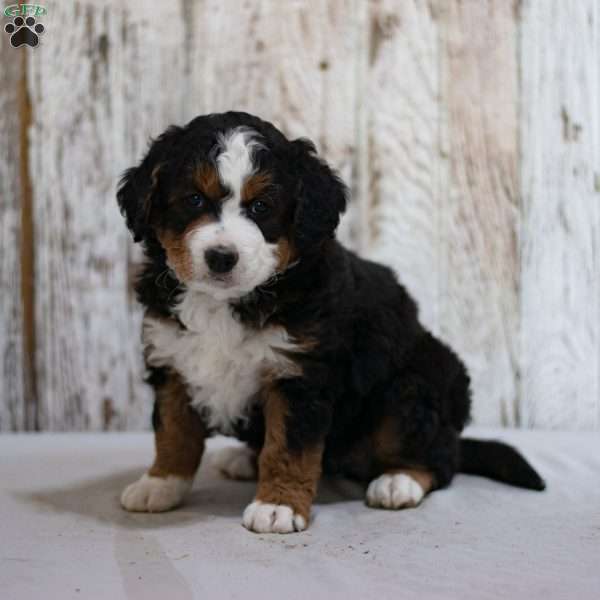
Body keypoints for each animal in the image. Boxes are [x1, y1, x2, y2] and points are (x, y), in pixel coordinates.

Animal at [117, 111, 544, 536]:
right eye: (193, 200)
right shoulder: (172, 360)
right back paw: (242, 460)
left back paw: (398, 481)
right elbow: (173, 431)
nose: (222, 257)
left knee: (439, 457)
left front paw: (277, 505)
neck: (228, 303)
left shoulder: (302, 374)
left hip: (414, 385)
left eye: (262, 207)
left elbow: (288, 447)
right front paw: (160, 483)